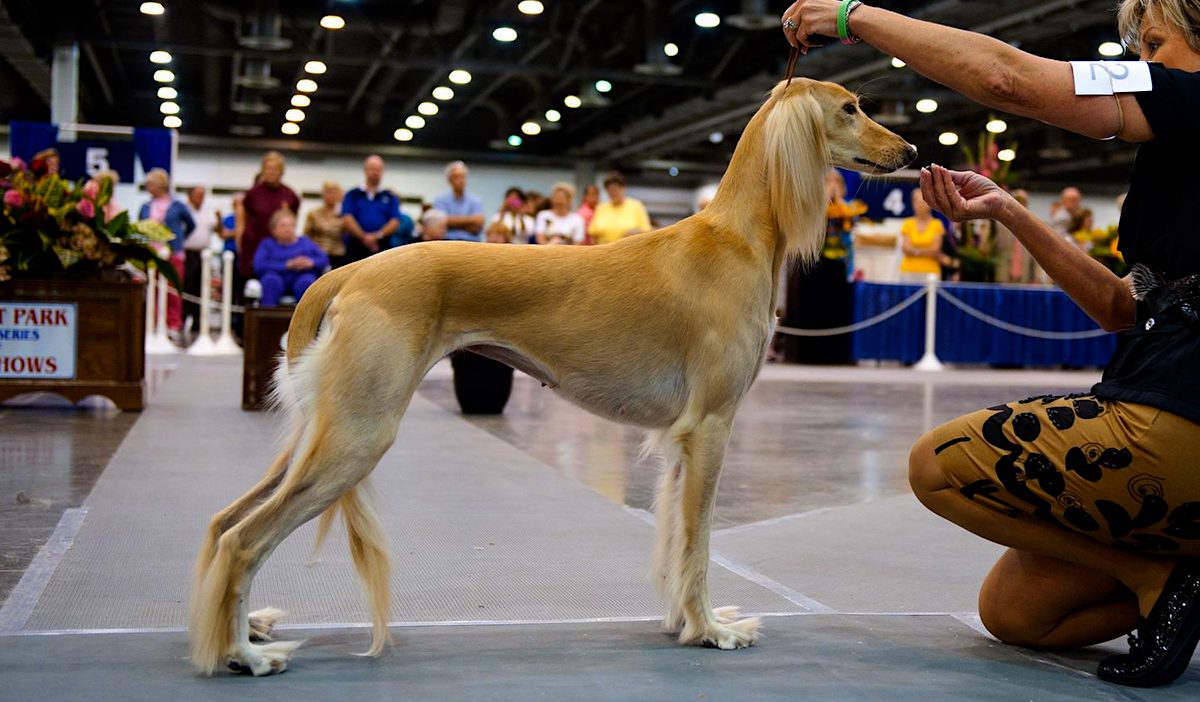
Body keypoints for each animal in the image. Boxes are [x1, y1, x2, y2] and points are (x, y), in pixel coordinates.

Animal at [192, 76, 912, 672]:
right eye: (851, 108)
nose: (908, 150)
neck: (734, 237)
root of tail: (352, 271)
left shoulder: (680, 440)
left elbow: (674, 537)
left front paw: (682, 622)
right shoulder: (710, 427)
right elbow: (699, 543)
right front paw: (711, 630)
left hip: (328, 429)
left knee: (224, 521)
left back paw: (242, 633)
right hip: (359, 433)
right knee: (244, 540)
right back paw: (241, 655)